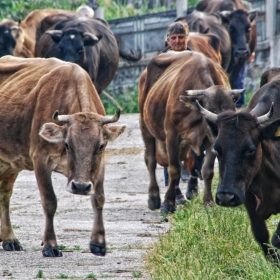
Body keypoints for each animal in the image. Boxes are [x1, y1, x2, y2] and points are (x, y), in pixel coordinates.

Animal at [0, 55, 126, 258]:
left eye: (100, 146)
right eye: (67, 144)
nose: (80, 187)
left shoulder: (100, 165)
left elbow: (99, 198)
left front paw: (98, 242)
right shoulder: (40, 160)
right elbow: (49, 201)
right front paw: (50, 245)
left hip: (10, 164)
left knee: (4, 194)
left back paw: (9, 239)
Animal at [139, 50, 244, 212]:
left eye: (232, 113)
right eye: (211, 112)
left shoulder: (210, 141)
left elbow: (207, 170)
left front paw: (208, 201)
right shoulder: (172, 135)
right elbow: (174, 169)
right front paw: (167, 204)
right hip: (145, 126)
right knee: (151, 161)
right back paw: (154, 198)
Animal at [195, 78, 280, 260]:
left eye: (250, 149)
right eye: (217, 149)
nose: (226, 197)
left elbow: (277, 239)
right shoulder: (247, 196)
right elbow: (261, 235)